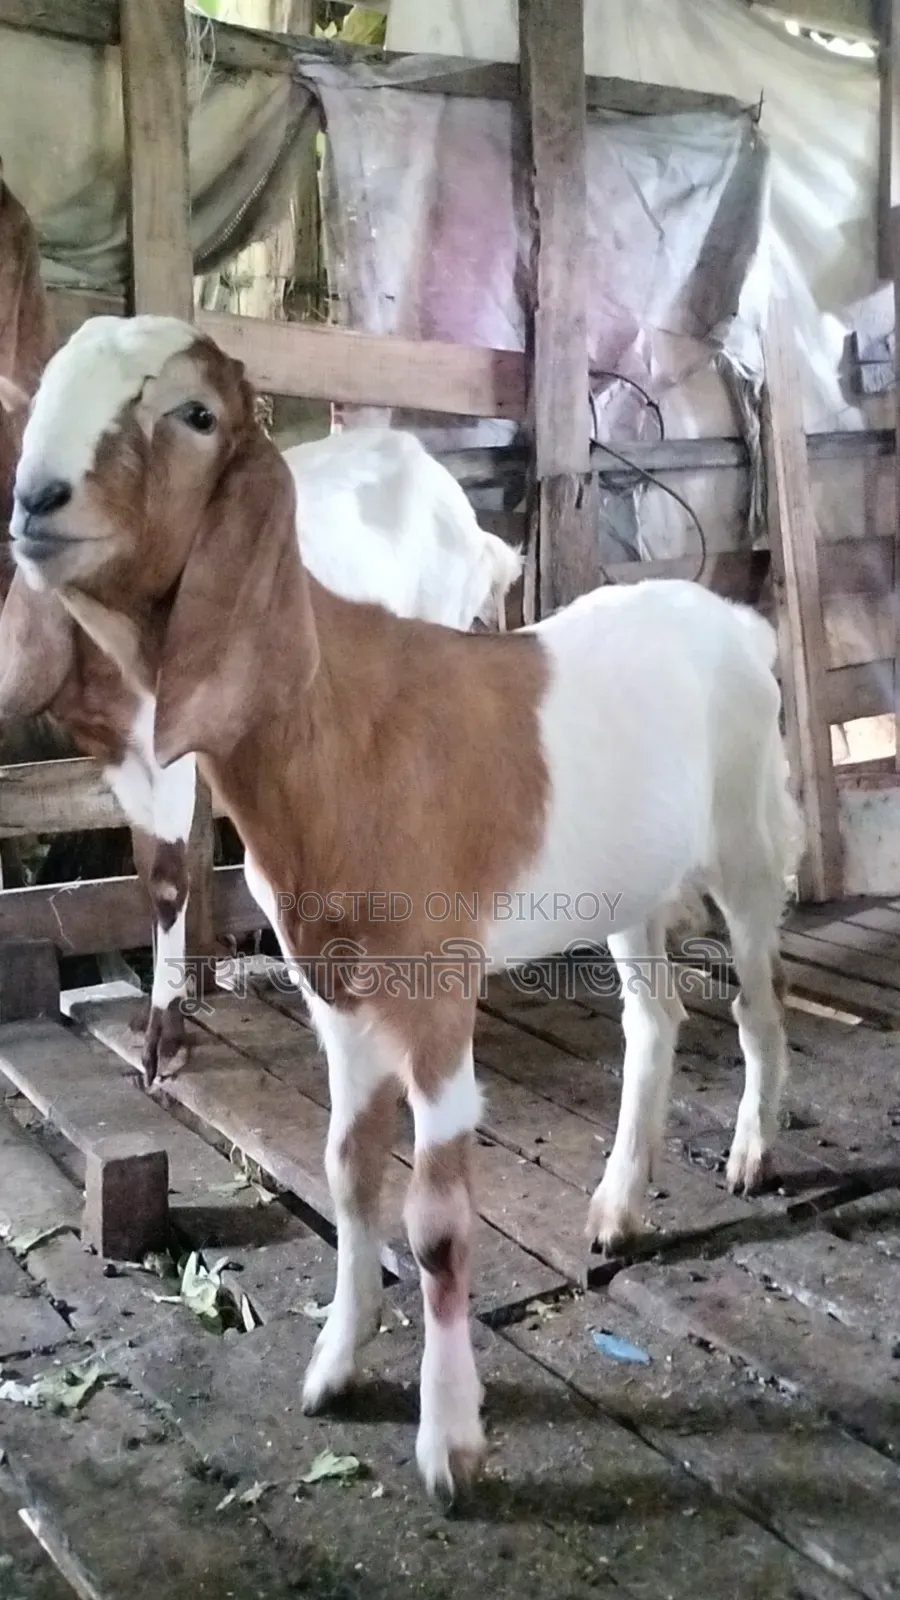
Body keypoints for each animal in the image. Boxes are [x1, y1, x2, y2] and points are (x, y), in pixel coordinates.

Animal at [6, 313, 802, 1502]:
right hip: (627, 881)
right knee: (655, 1019)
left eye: (196, 415)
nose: (35, 500)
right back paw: (617, 1205)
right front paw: (337, 1361)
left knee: (756, 1005)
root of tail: (739, 624)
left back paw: (750, 1152)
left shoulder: (436, 991)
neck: (343, 714)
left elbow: (433, 1223)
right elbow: (346, 1172)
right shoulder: (335, 987)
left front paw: (451, 1440)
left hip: (747, 849)